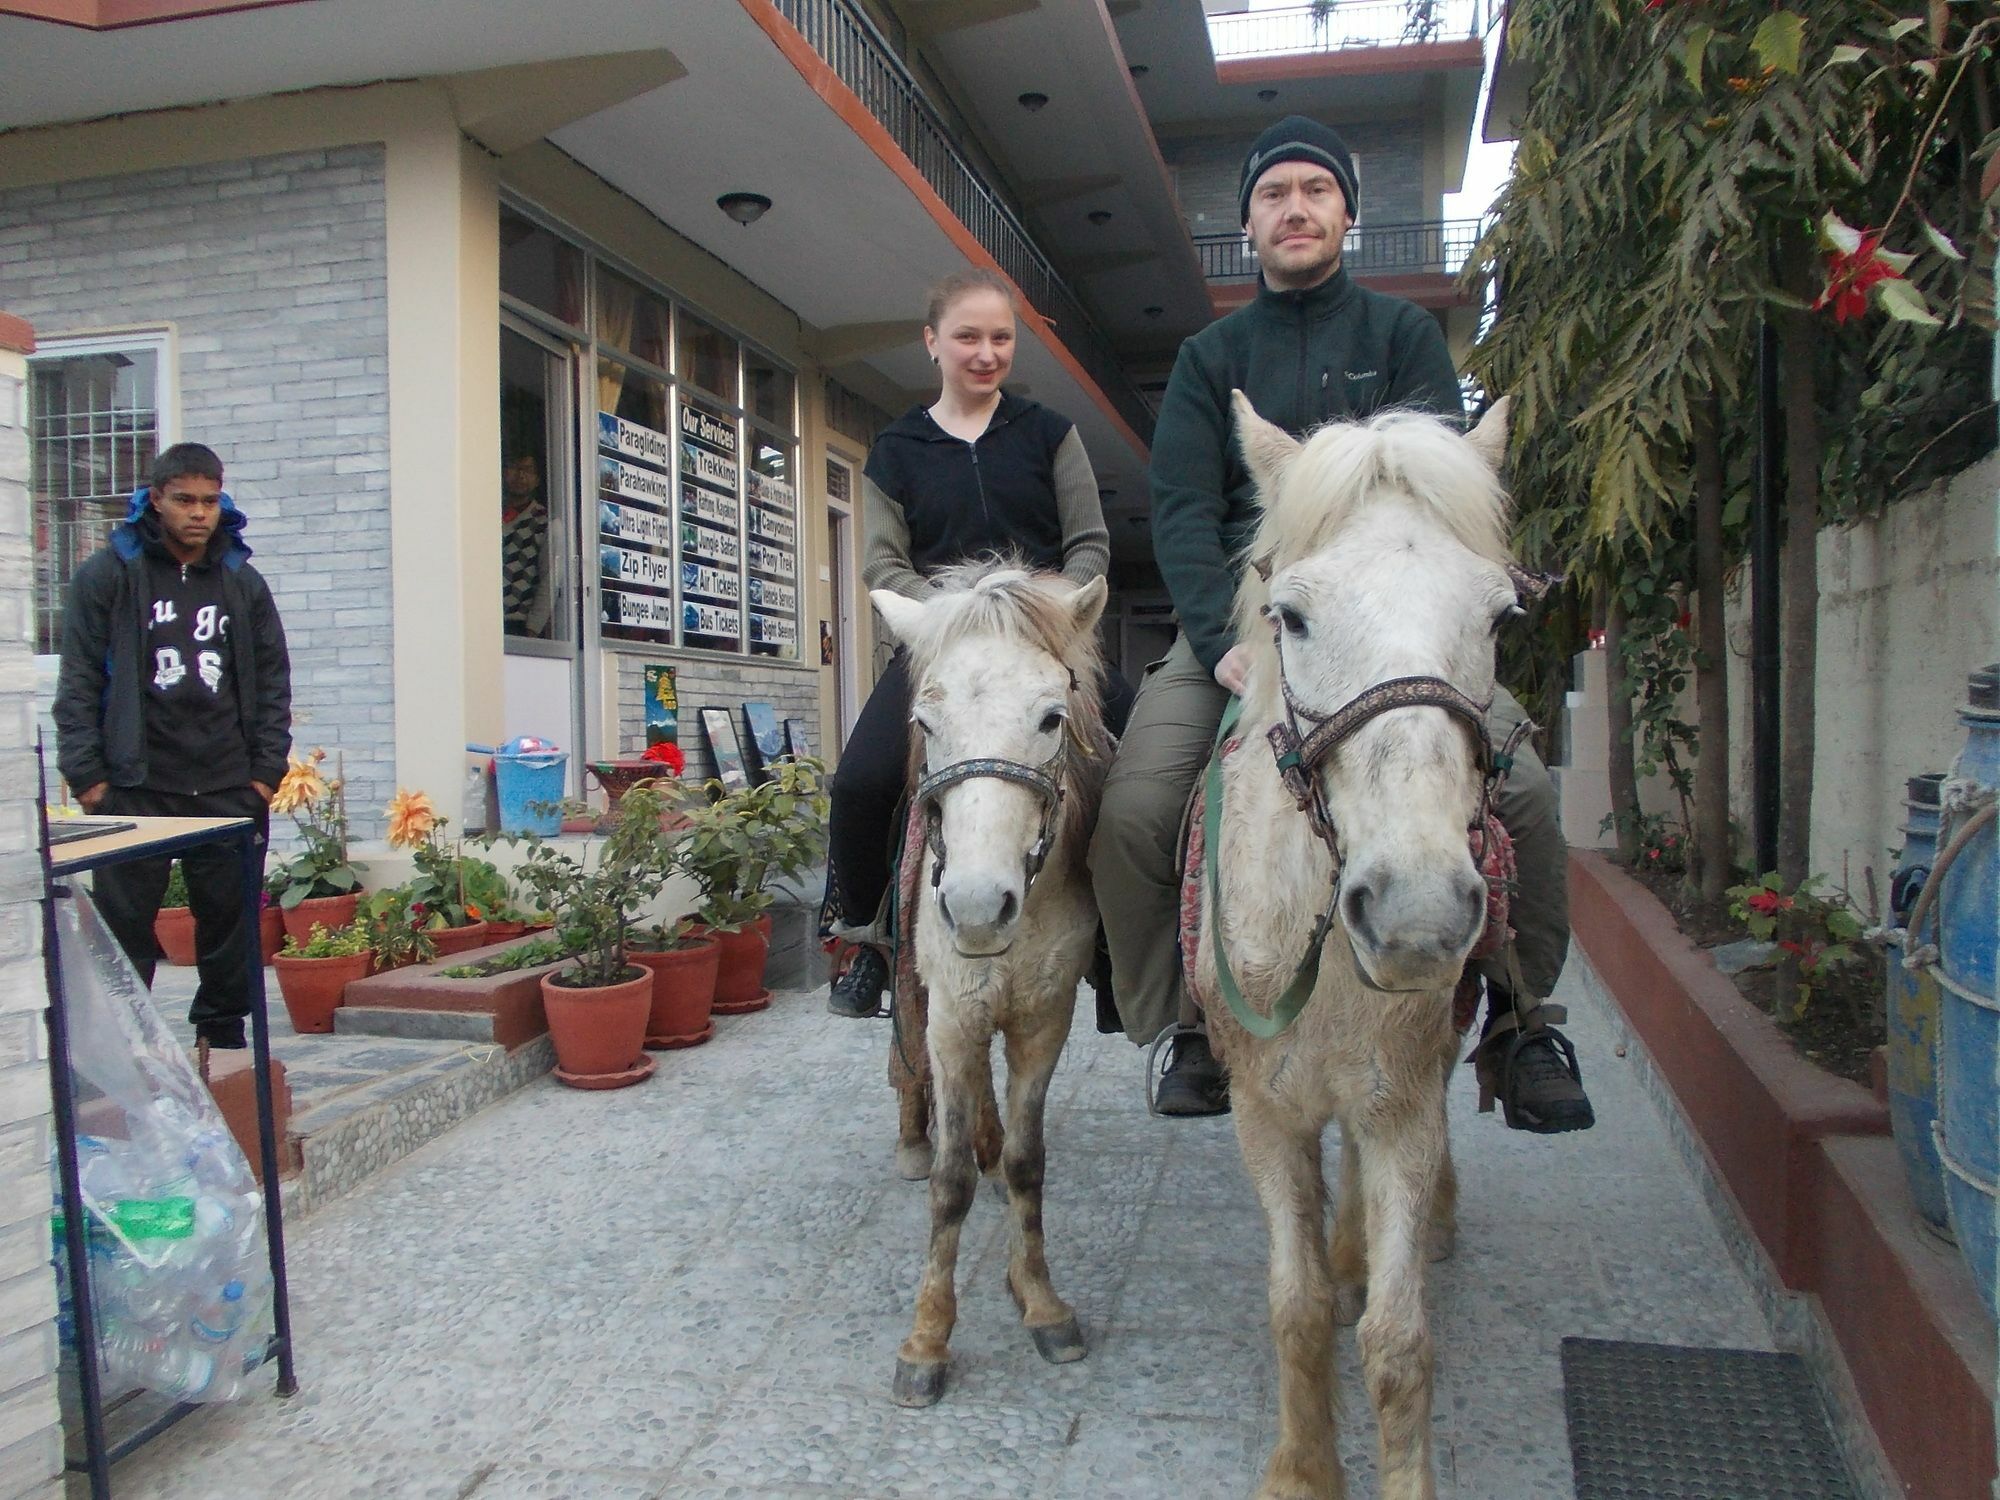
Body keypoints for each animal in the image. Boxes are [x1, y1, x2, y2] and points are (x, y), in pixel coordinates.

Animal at [868, 560, 1112, 1408]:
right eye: (925, 723)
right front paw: (926, 1340)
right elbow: (947, 1186)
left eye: (1050, 718)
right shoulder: (951, 1020)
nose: (976, 908)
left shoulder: (1044, 1018)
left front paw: (1039, 1301)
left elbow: (1029, 1161)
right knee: (906, 1066)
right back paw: (914, 1136)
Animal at [1200, 394, 1512, 1496]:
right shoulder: (1263, 1112)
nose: (1417, 911)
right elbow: (1293, 1308)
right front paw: (1302, 1470)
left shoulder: (1400, 1110)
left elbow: (1397, 1339)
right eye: (1289, 617)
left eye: (1500, 618)